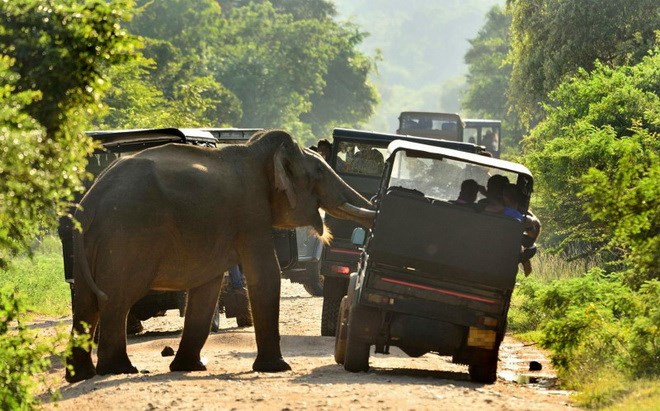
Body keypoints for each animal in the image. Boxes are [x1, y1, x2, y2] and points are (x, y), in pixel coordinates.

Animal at [68, 129, 376, 384]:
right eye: (320, 172)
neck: (256, 152)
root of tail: (91, 201)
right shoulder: (251, 212)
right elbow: (265, 274)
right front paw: (277, 368)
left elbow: (208, 287)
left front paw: (190, 367)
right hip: (127, 237)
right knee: (117, 300)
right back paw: (119, 369)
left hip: (95, 244)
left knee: (85, 303)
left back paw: (81, 375)